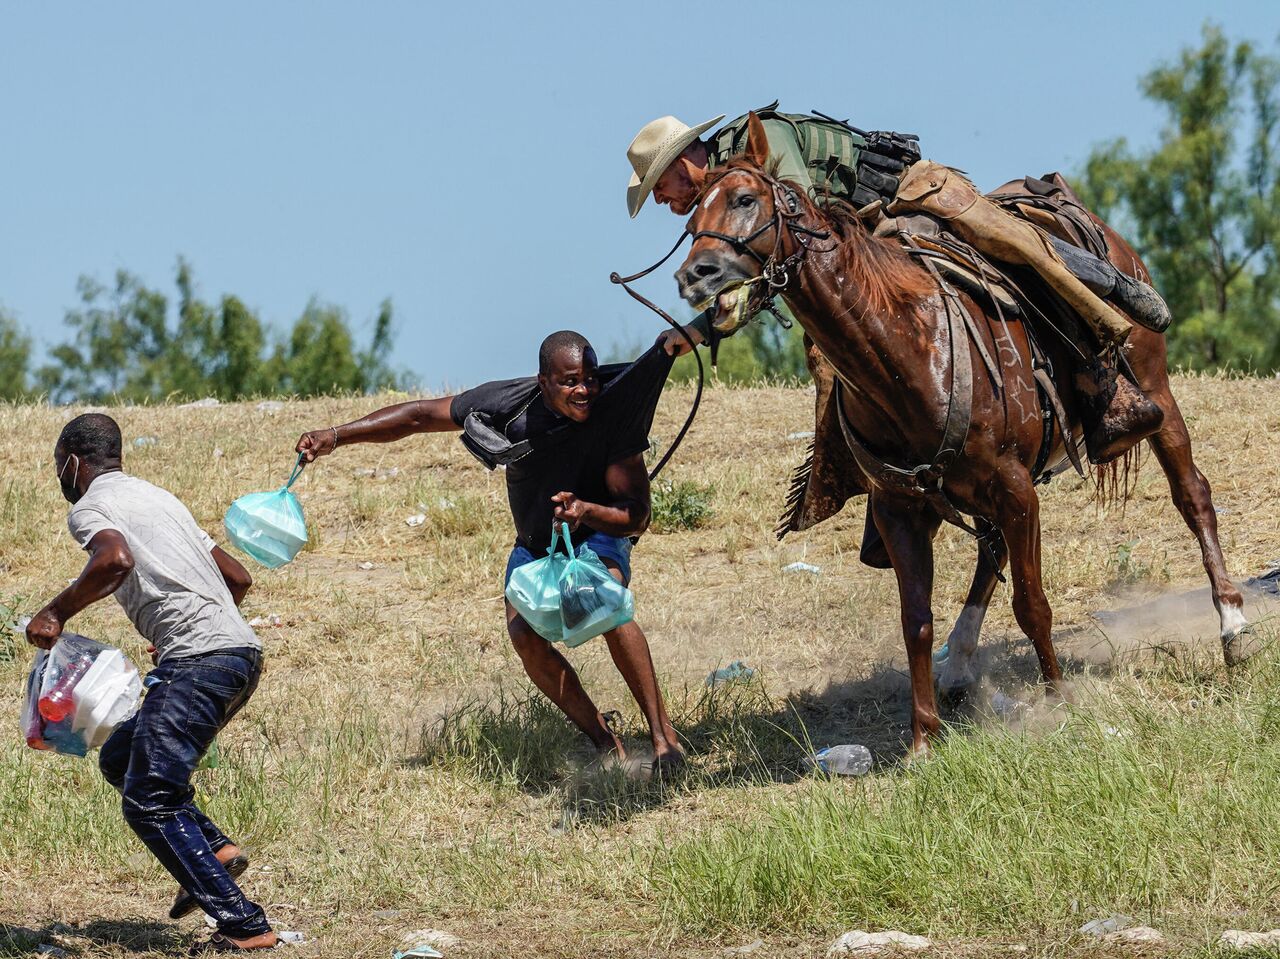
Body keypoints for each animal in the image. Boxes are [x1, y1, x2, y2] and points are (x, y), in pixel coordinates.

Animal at [680, 113, 1249, 757]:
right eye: (691, 220)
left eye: (745, 200)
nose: (694, 275)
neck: (906, 349)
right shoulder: (901, 508)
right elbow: (916, 621)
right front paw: (923, 739)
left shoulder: (1016, 490)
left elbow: (1032, 604)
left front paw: (1058, 701)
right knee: (990, 550)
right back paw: (959, 666)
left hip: (1156, 392)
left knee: (1192, 494)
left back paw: (1232, 624)